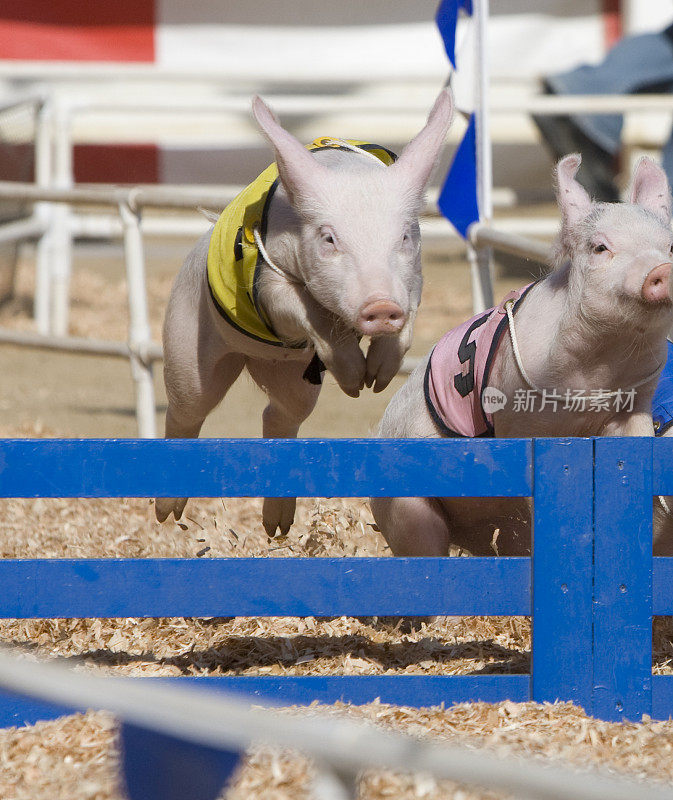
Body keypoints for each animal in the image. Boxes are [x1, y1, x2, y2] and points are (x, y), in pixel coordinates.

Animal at [155, 89, 454, 536]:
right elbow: (300, 305)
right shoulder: (269, 283)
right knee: (187, 409)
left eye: (402, 237)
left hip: (296, 380)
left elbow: (411, 311)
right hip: (186, 340)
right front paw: (356, 382)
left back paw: (276, 528)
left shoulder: (413, 277)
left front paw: (375, 382)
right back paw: (167, 514)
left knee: (279, 415)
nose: (381, 307)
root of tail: (255, 360)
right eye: (329, 239)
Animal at [370, 155, 672, 556]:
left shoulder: (633, 406)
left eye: (670, 248)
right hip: (404, 507)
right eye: (600, 248)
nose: (662, 269)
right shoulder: (520, 414)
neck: (599, 374)